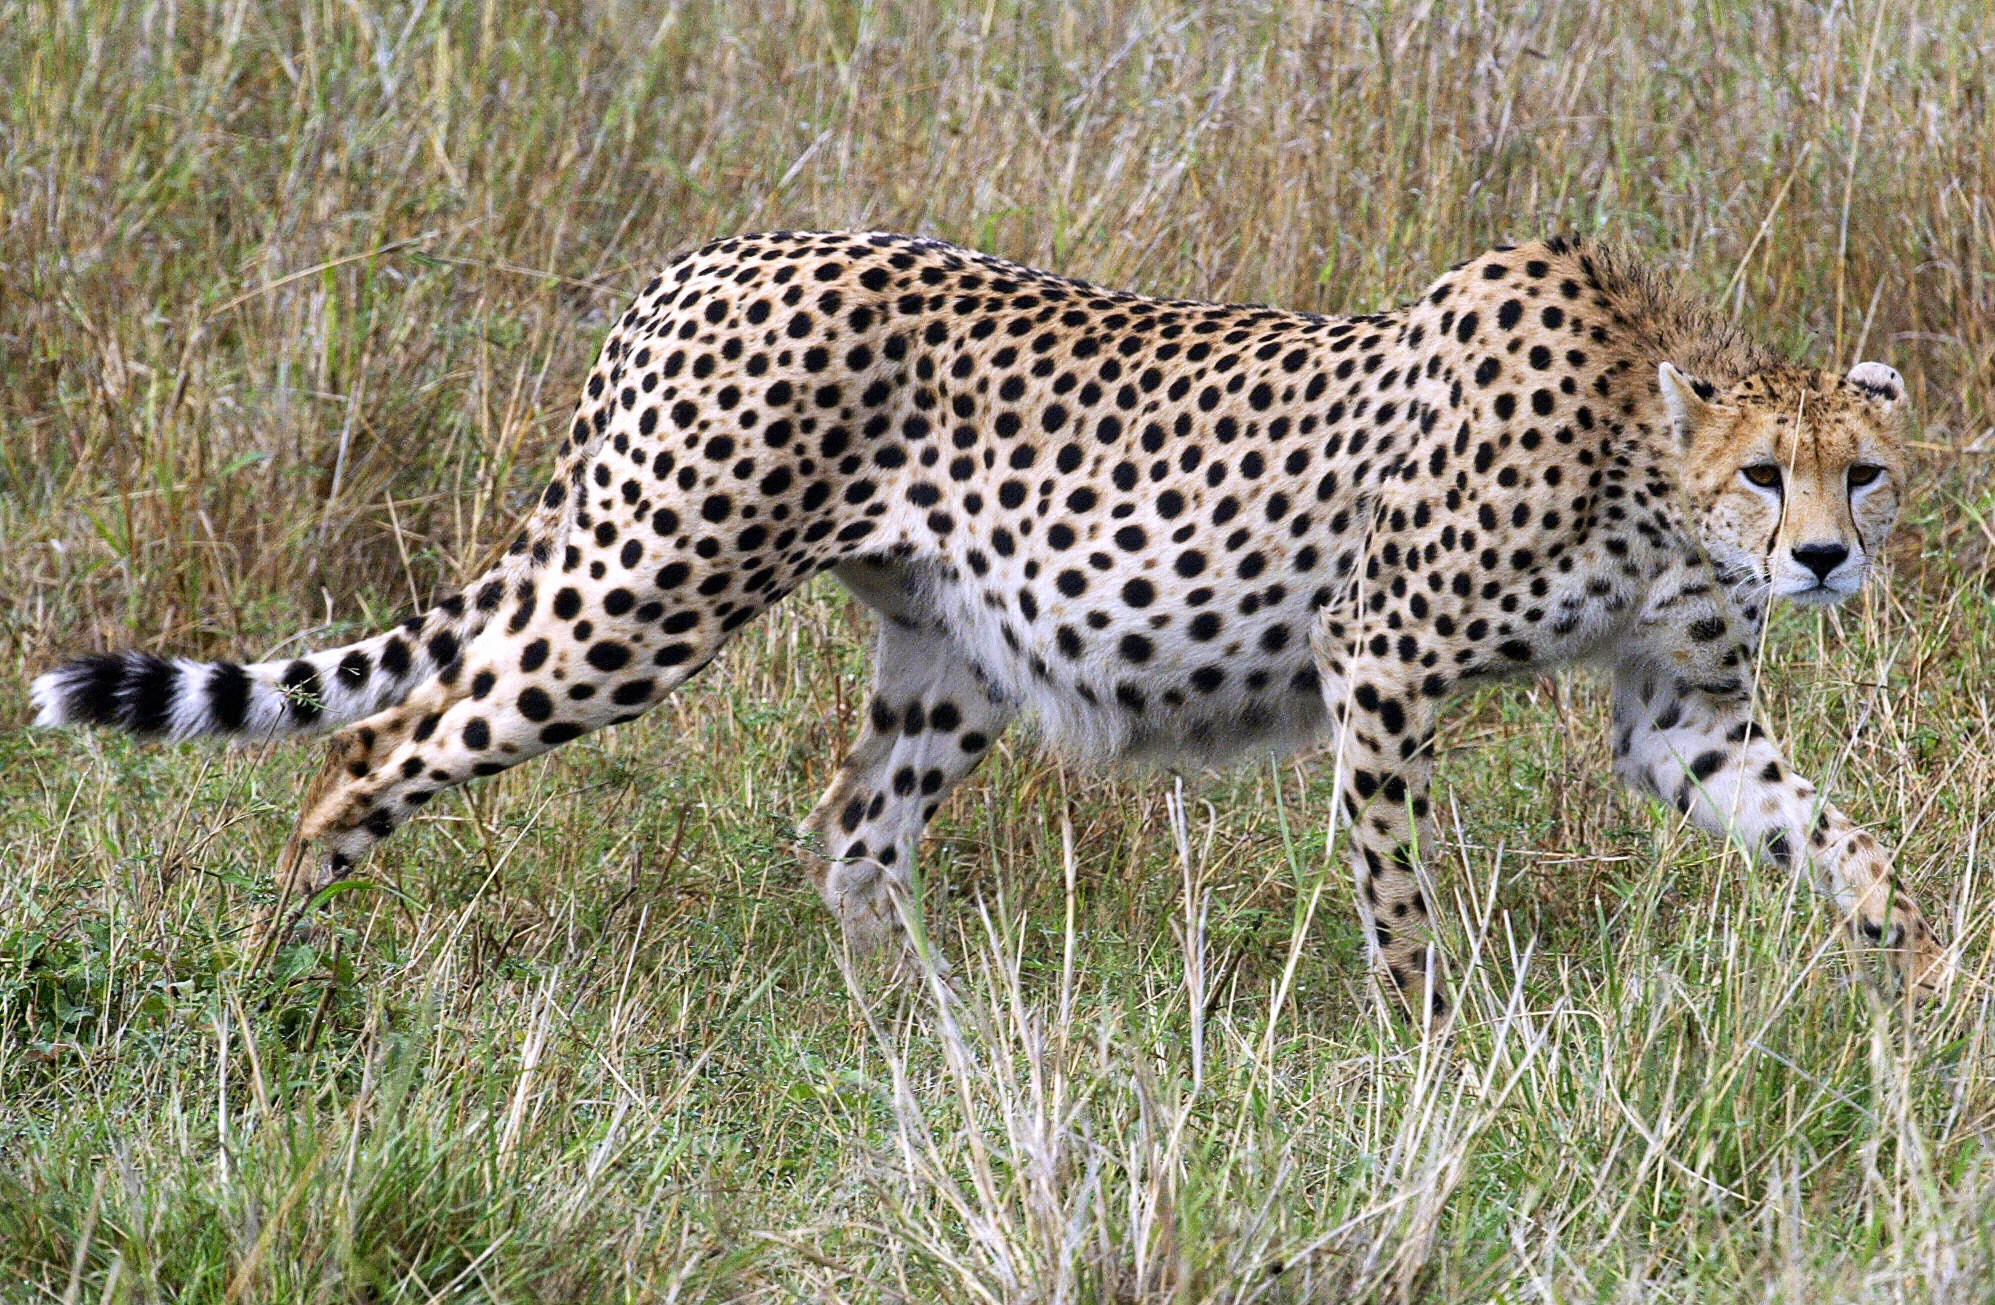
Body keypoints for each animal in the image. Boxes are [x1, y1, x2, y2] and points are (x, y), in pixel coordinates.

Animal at [31, 231, 1953, 1019]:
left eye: (1864, 473)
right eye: (1766, 473)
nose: (1822, 563)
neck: (1646, 468)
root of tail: (704, 257)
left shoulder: (1677, 717)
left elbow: (1839, 839)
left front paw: (1915, 984)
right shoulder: (1382, 659)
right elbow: (1399, 887)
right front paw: (1429, 1047)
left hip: (949, 653)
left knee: (848, 836)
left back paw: (930, 1031)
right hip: (641, 595)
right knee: (374, 747)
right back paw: (270, 976)